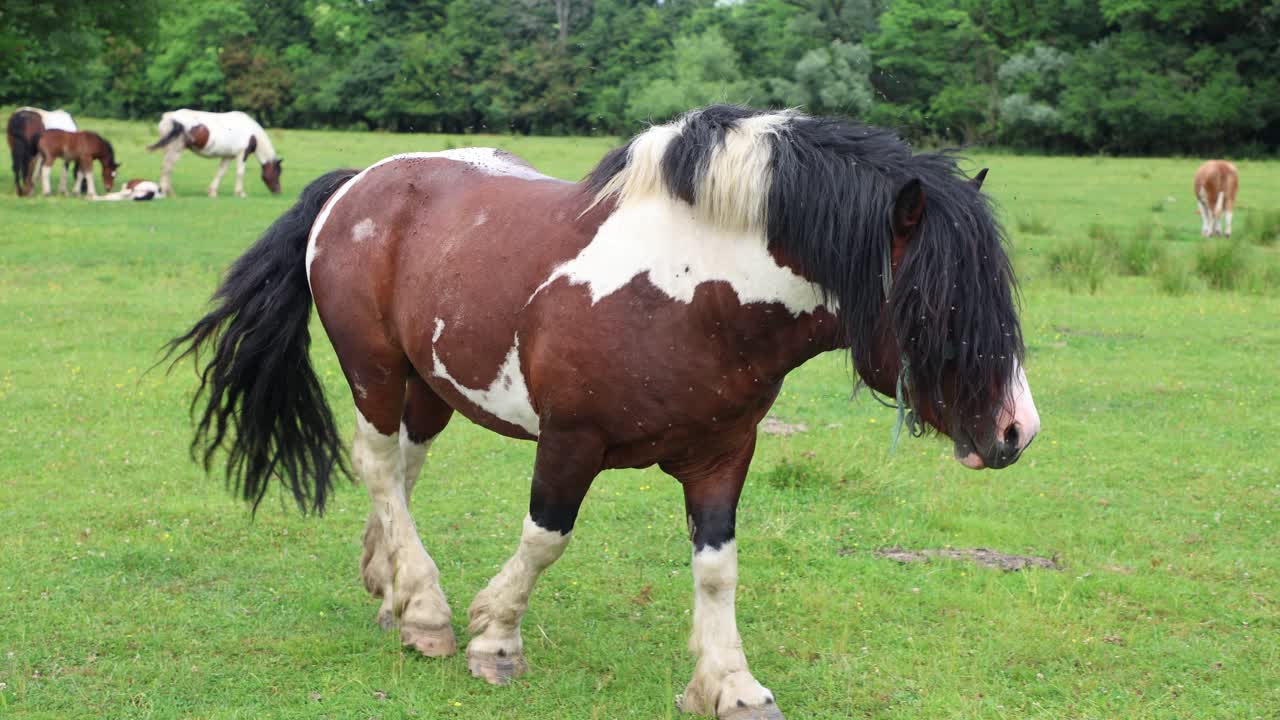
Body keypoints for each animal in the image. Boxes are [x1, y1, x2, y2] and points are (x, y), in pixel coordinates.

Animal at [147, 109, 282, 197]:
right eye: (277, 173)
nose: (278, 191)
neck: (252, 133)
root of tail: (169, 117)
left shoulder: (228, 156)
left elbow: (220, 172)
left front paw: (212, 192)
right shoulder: (242, 154)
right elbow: (240, 172)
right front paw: (240, 193)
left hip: (168, 149)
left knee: (166, 168)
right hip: (176, 150)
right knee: (167, 168)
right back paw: (167, 192)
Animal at [168, 105, 1039, 720]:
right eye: (941, 305)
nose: (1016, 432)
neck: (693, 292)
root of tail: (357, 185)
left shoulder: (725, 452)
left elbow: (717, 566)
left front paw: (731, 684)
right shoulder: (570, 442)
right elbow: (544, 540)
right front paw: (494, 639)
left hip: (430, 384)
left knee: (403, 474)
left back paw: (394, 592)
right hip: (375, 369)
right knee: (379, 466)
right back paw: (427, 611)